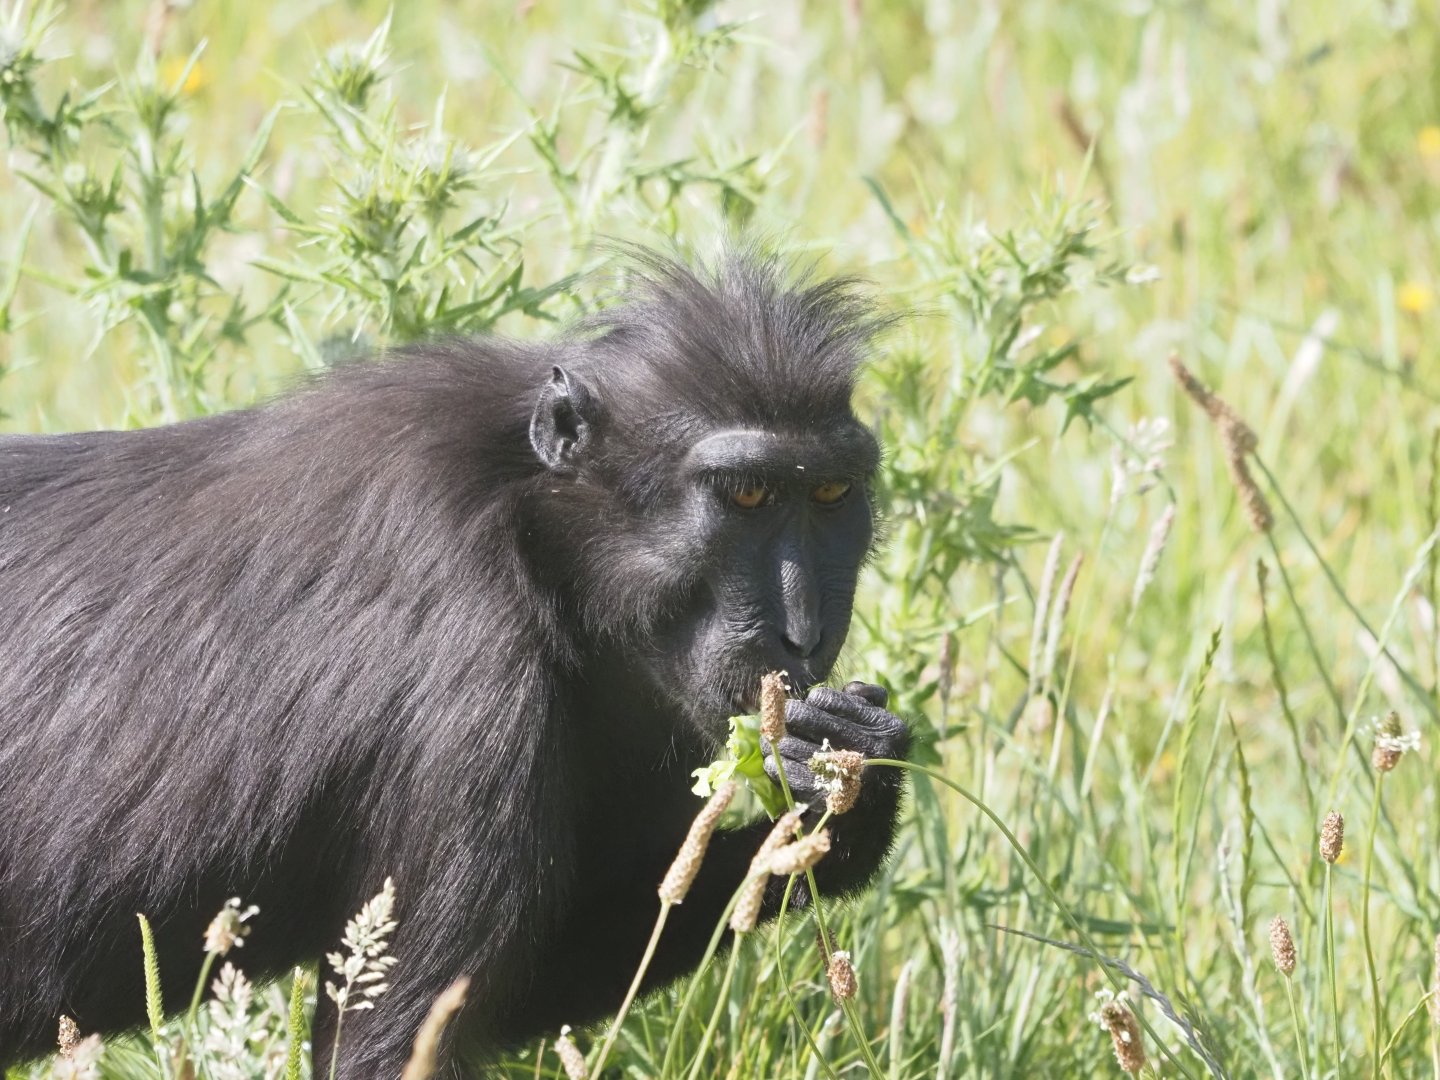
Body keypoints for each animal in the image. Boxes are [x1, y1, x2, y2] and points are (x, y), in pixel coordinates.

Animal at [0, 249, 910, 1075]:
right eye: (747, 494)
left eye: (831, 494)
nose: (803, 634)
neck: (536, 526)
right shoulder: (474, 679)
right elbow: (395, 1043)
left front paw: (853, 772)